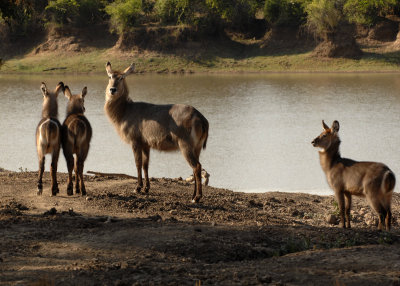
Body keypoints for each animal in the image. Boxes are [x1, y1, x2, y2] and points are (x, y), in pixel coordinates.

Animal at [103, 61, 209, 202]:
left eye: (121, 77)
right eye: (110, 76)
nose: (112, 89)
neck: (125, 111)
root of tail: (201, 118)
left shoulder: (135, 141)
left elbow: (137, 163)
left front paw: (137, 188)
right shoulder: (146, 144)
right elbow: (145, 164)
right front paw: (146, 188)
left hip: (185, 145)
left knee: (196, 167)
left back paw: (196, 198)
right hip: (197, 147)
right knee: (196, 167)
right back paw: (192, 196)